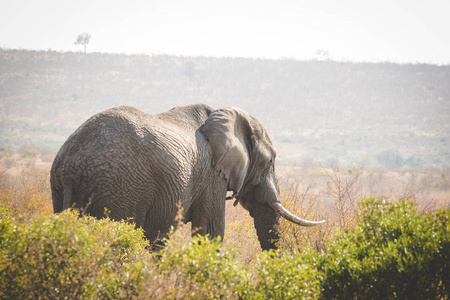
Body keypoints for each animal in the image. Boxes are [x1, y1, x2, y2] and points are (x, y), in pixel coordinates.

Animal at [51, 104, 326, 250]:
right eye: (270, 161)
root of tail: (72, 167)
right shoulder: (213, 174)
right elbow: (211, 232)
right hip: (122, 187)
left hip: (59, 186)